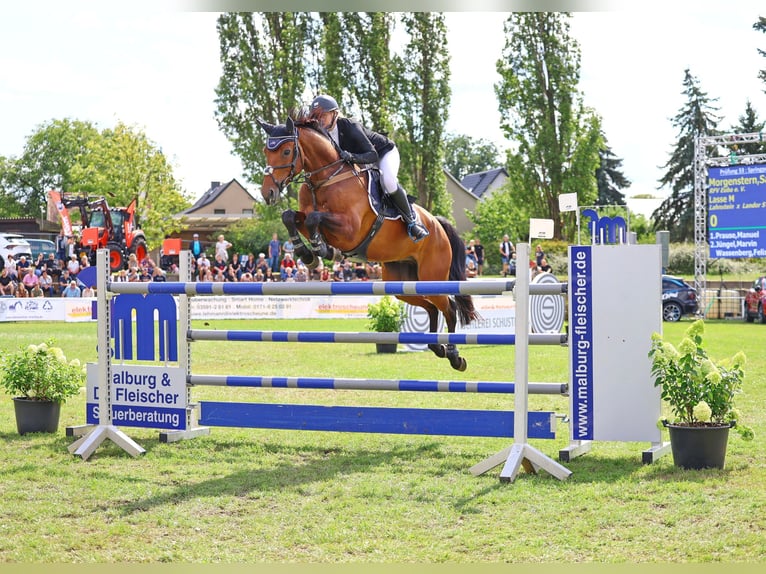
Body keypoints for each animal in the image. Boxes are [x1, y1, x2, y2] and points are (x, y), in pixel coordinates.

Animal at [260, 111, 476, 374]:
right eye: (266, 150)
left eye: (286, 151)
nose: (268, 193)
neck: (325, 178)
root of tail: (437, 223)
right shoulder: (307, 216)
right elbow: (290, 216)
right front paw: (308, 254)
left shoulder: (349, 230)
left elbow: (314, 219)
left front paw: (322, 249)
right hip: (400, 282)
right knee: (432, 307)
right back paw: (437, 347)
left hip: (432, 276)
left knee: (449, 308)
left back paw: (455, 356)